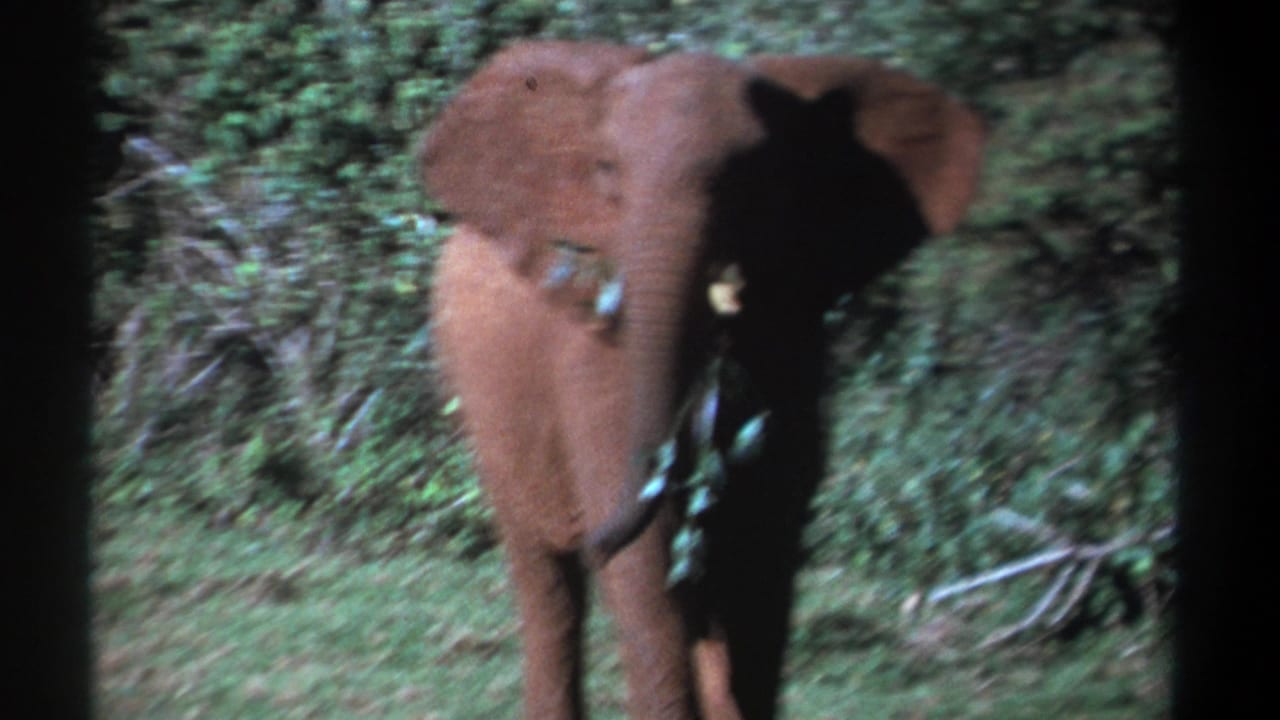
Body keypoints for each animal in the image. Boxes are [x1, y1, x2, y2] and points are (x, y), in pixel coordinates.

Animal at [421, 40, 984, 720]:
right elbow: (646, 561)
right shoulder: (596, 360)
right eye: (607, 170)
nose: (594, 539)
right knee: (548, 581)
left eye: (751, 180)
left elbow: (768, 544)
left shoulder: (790, 341)